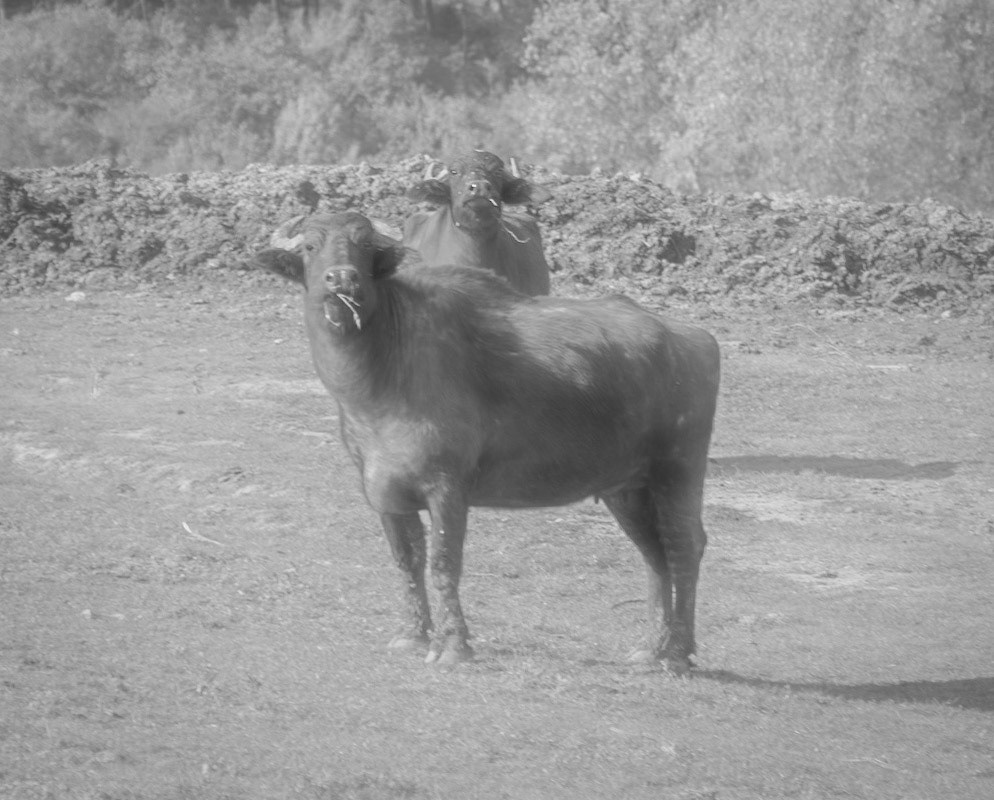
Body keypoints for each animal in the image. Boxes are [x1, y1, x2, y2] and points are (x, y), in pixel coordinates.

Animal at [252, 211, 720, 674]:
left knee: (684, 546)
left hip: (679, 470)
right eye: (311, 246)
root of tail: (694, 338)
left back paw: (678, 653)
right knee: (653, 554)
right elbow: (407, 560)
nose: (341, 279)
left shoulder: (447, 489)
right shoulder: (382, 492)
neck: (381, 374)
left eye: (364, 246)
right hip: (626, 487)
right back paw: (652, 647)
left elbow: (443, 564)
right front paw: (412, 634)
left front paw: (454, 645)